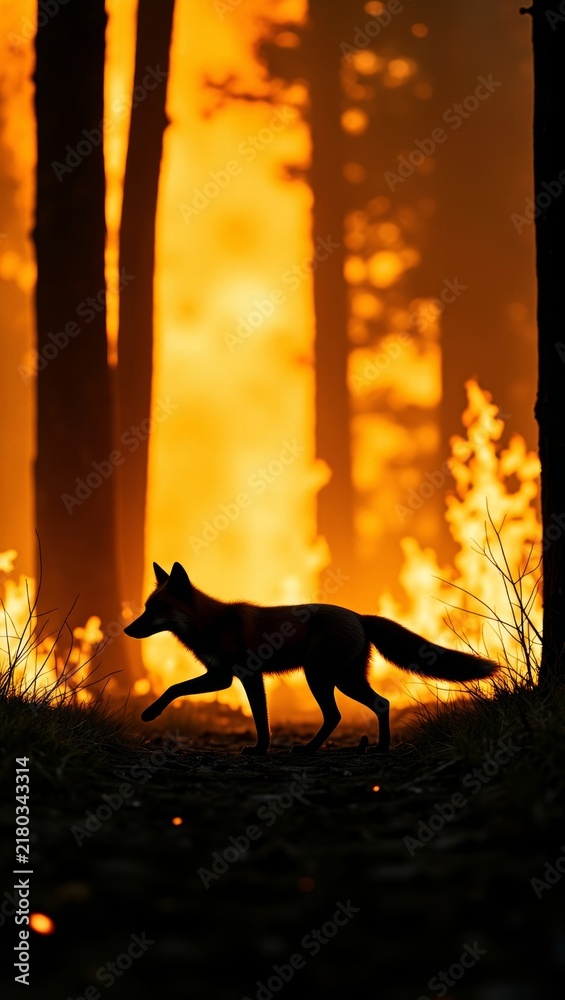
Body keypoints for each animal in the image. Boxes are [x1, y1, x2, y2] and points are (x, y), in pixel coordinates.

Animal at [124, 561, 498, 754]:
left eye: (155, 610)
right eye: (146, 607)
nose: (127, 629)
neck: (212, 624)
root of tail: (359, 616)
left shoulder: (245, 676)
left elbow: (261, 720)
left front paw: (260, 750)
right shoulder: (222, 676)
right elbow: (174, 688)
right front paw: (151, 713)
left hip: (322, 677)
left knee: (347, 712)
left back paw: (328, 749)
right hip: (340, 678)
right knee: (376, 705)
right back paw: (371, 747)